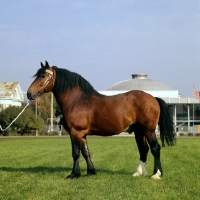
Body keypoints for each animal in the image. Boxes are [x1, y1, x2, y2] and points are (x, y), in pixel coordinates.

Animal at [27, 61, 175, 180]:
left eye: (43, 76)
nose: (29, 93)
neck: (77, 100)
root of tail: (153, 98)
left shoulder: (75, 133)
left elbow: (76, 153)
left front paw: (74, 174)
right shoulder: (82, 135)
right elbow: (86, 152)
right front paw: (91, 172)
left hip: (149, 130)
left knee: (155, 148)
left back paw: (156, 174)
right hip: (139, 132)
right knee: (143, 150)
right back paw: (138, 173)